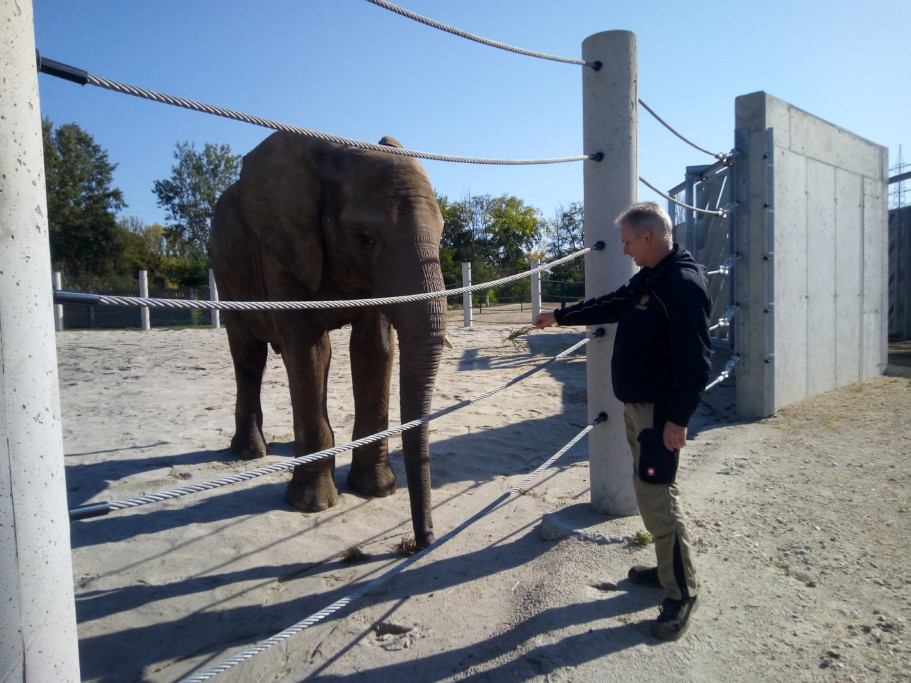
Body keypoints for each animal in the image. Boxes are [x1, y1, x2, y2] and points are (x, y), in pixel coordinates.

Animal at [210, 132, 446, 552]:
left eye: (442, 234)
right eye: (365, 238)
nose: (421, 543)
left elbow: (373, 349)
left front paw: (377, 490)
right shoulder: (284, 247)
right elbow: (311, 351)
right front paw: (312, 506)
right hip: (227, 274)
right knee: (248, 351)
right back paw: (251, 453)